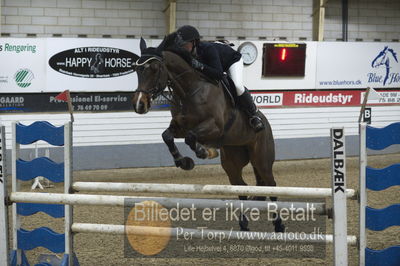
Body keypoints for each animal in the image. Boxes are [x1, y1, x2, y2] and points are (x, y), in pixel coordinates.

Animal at [131, 39, 284, 233]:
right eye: (136, 69)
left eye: (155, 68)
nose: (139, 104)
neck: (189, 90)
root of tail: (265, 122)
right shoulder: (179, 126)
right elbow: (167, 136)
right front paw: (184, 162)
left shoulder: (215, 128)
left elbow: (190, 137)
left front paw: (204, 152)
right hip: (232, 160)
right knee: (241, 187)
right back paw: (243, 224)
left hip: (261, 159)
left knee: (271, 185)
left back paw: (279, 225)